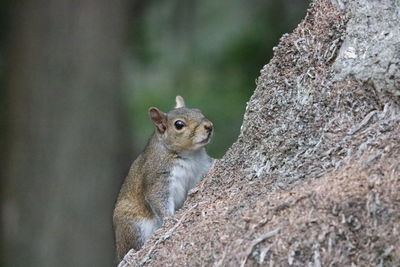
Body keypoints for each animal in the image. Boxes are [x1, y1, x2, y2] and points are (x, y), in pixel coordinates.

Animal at [112, 96, 214, 262]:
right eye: (179, 125)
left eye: (199, 111)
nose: (209, 126)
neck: (189, 155)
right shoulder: (157, 177)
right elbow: (158, 199)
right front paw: (170, 218)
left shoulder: (202, 166)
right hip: (134, 226)